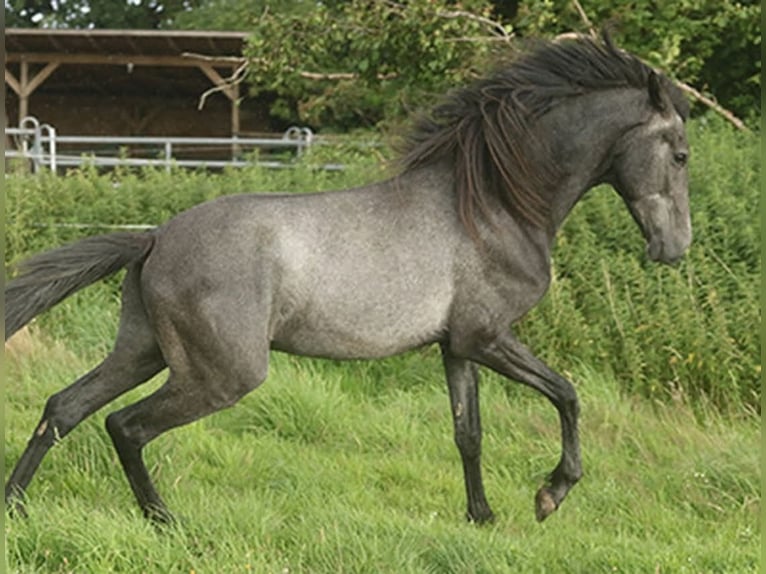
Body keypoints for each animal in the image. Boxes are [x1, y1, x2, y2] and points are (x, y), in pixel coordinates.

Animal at [5, 33, 691, 526]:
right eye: (681, 153)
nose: (674, 248)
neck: (492, 206)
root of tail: (153, 238)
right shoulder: (488, 336)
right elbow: (568, 394)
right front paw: (549, 496)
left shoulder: (456, 346)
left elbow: (468, 432)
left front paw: (483, 517)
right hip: (221, 373)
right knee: (125, 426)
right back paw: (165, 521)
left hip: (143, 350)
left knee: (64, 408)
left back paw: (17, 506)